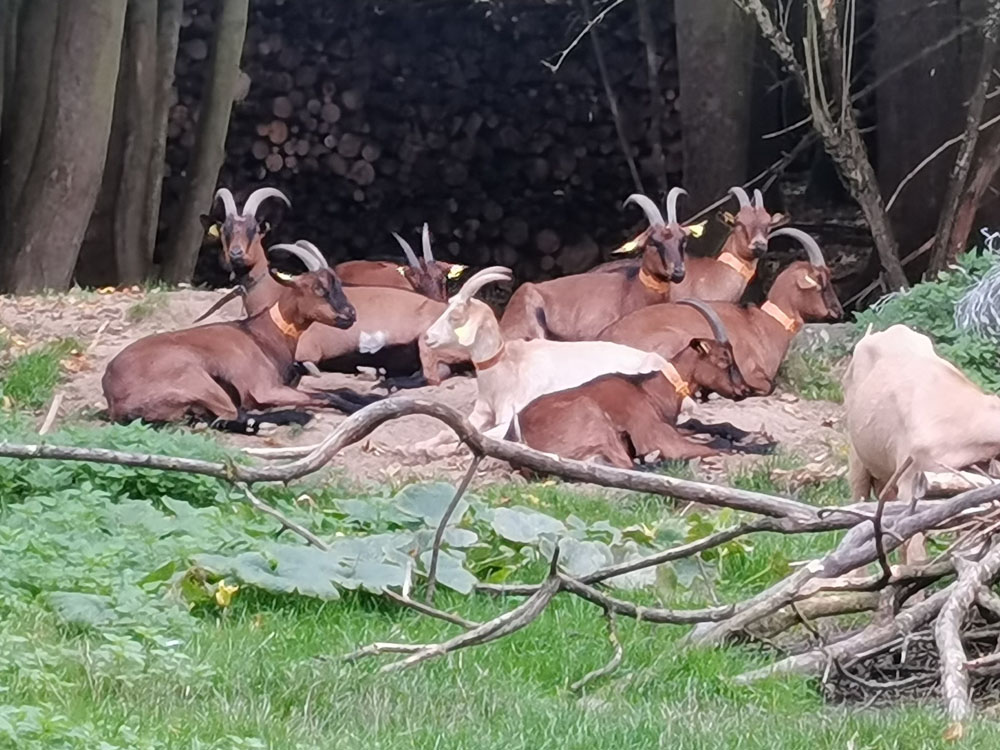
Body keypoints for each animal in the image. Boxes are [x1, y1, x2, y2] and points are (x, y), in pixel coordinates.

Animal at [102, 256, 376, 432]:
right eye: (319, 289)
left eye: (339, 285)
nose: (350, 314)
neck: (260, 335)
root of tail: (114, 397)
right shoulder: (264, 389)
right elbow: (328, 395)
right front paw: (355, 408)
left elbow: (339, 390)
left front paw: (367, 400)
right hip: (197, 379)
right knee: (228, 416)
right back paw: (291, 417)